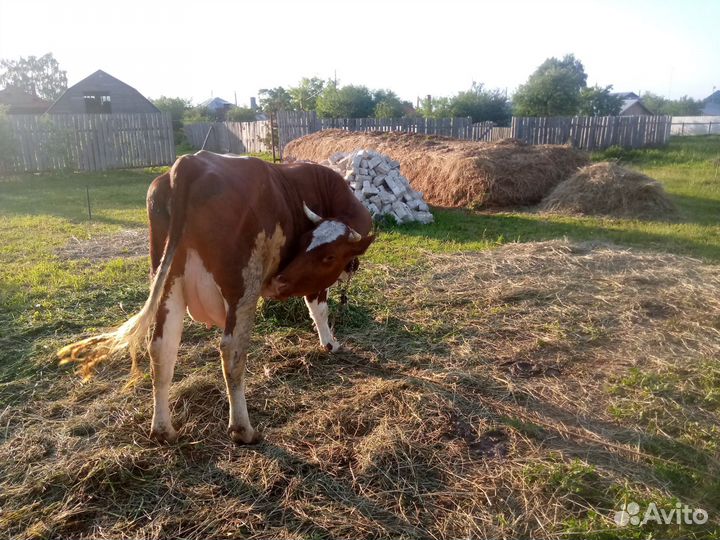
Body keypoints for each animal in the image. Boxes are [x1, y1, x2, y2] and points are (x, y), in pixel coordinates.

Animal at [58, 151, 375, 444]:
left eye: (325, 252)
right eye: (312, 246)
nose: (280, 280)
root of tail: (190, 162)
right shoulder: (313, 282)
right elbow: (318, 307)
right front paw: (330, 343)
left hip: (166, 284)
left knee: (161, 348)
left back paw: (163, 429)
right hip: (242, 289)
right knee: (231, 352)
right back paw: (243, 430)